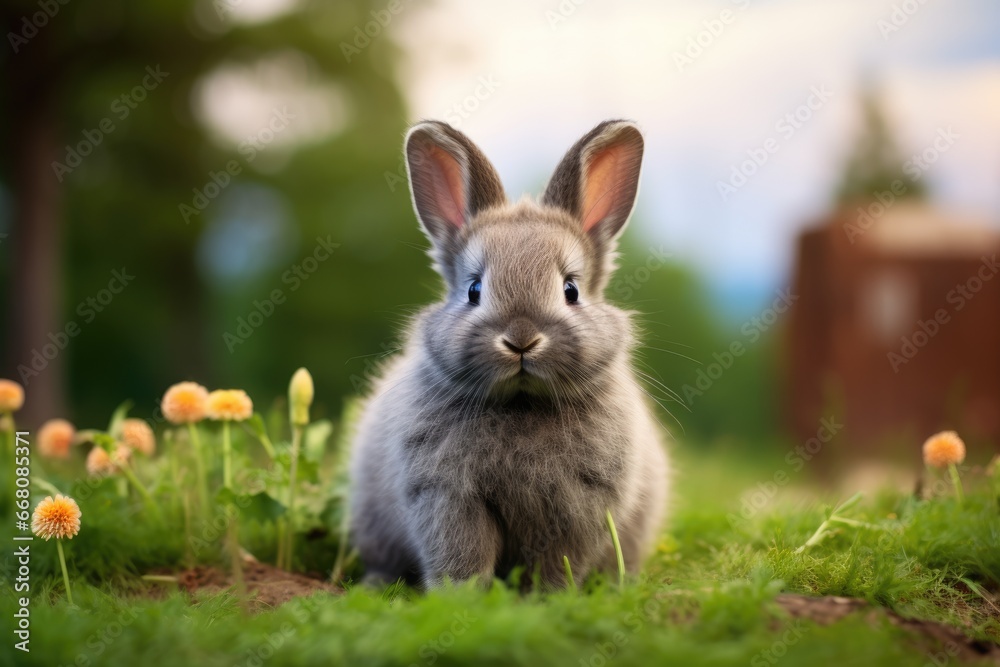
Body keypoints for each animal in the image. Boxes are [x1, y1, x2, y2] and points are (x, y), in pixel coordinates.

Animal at [348, 119, 670, 588]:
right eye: (473, 290)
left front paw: (550, 595)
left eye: (571, 290)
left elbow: (558, 560)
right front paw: (462, 596)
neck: (521, 402)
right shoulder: (447, 498)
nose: (521, 339)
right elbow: (462, 554)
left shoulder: (578, 507)